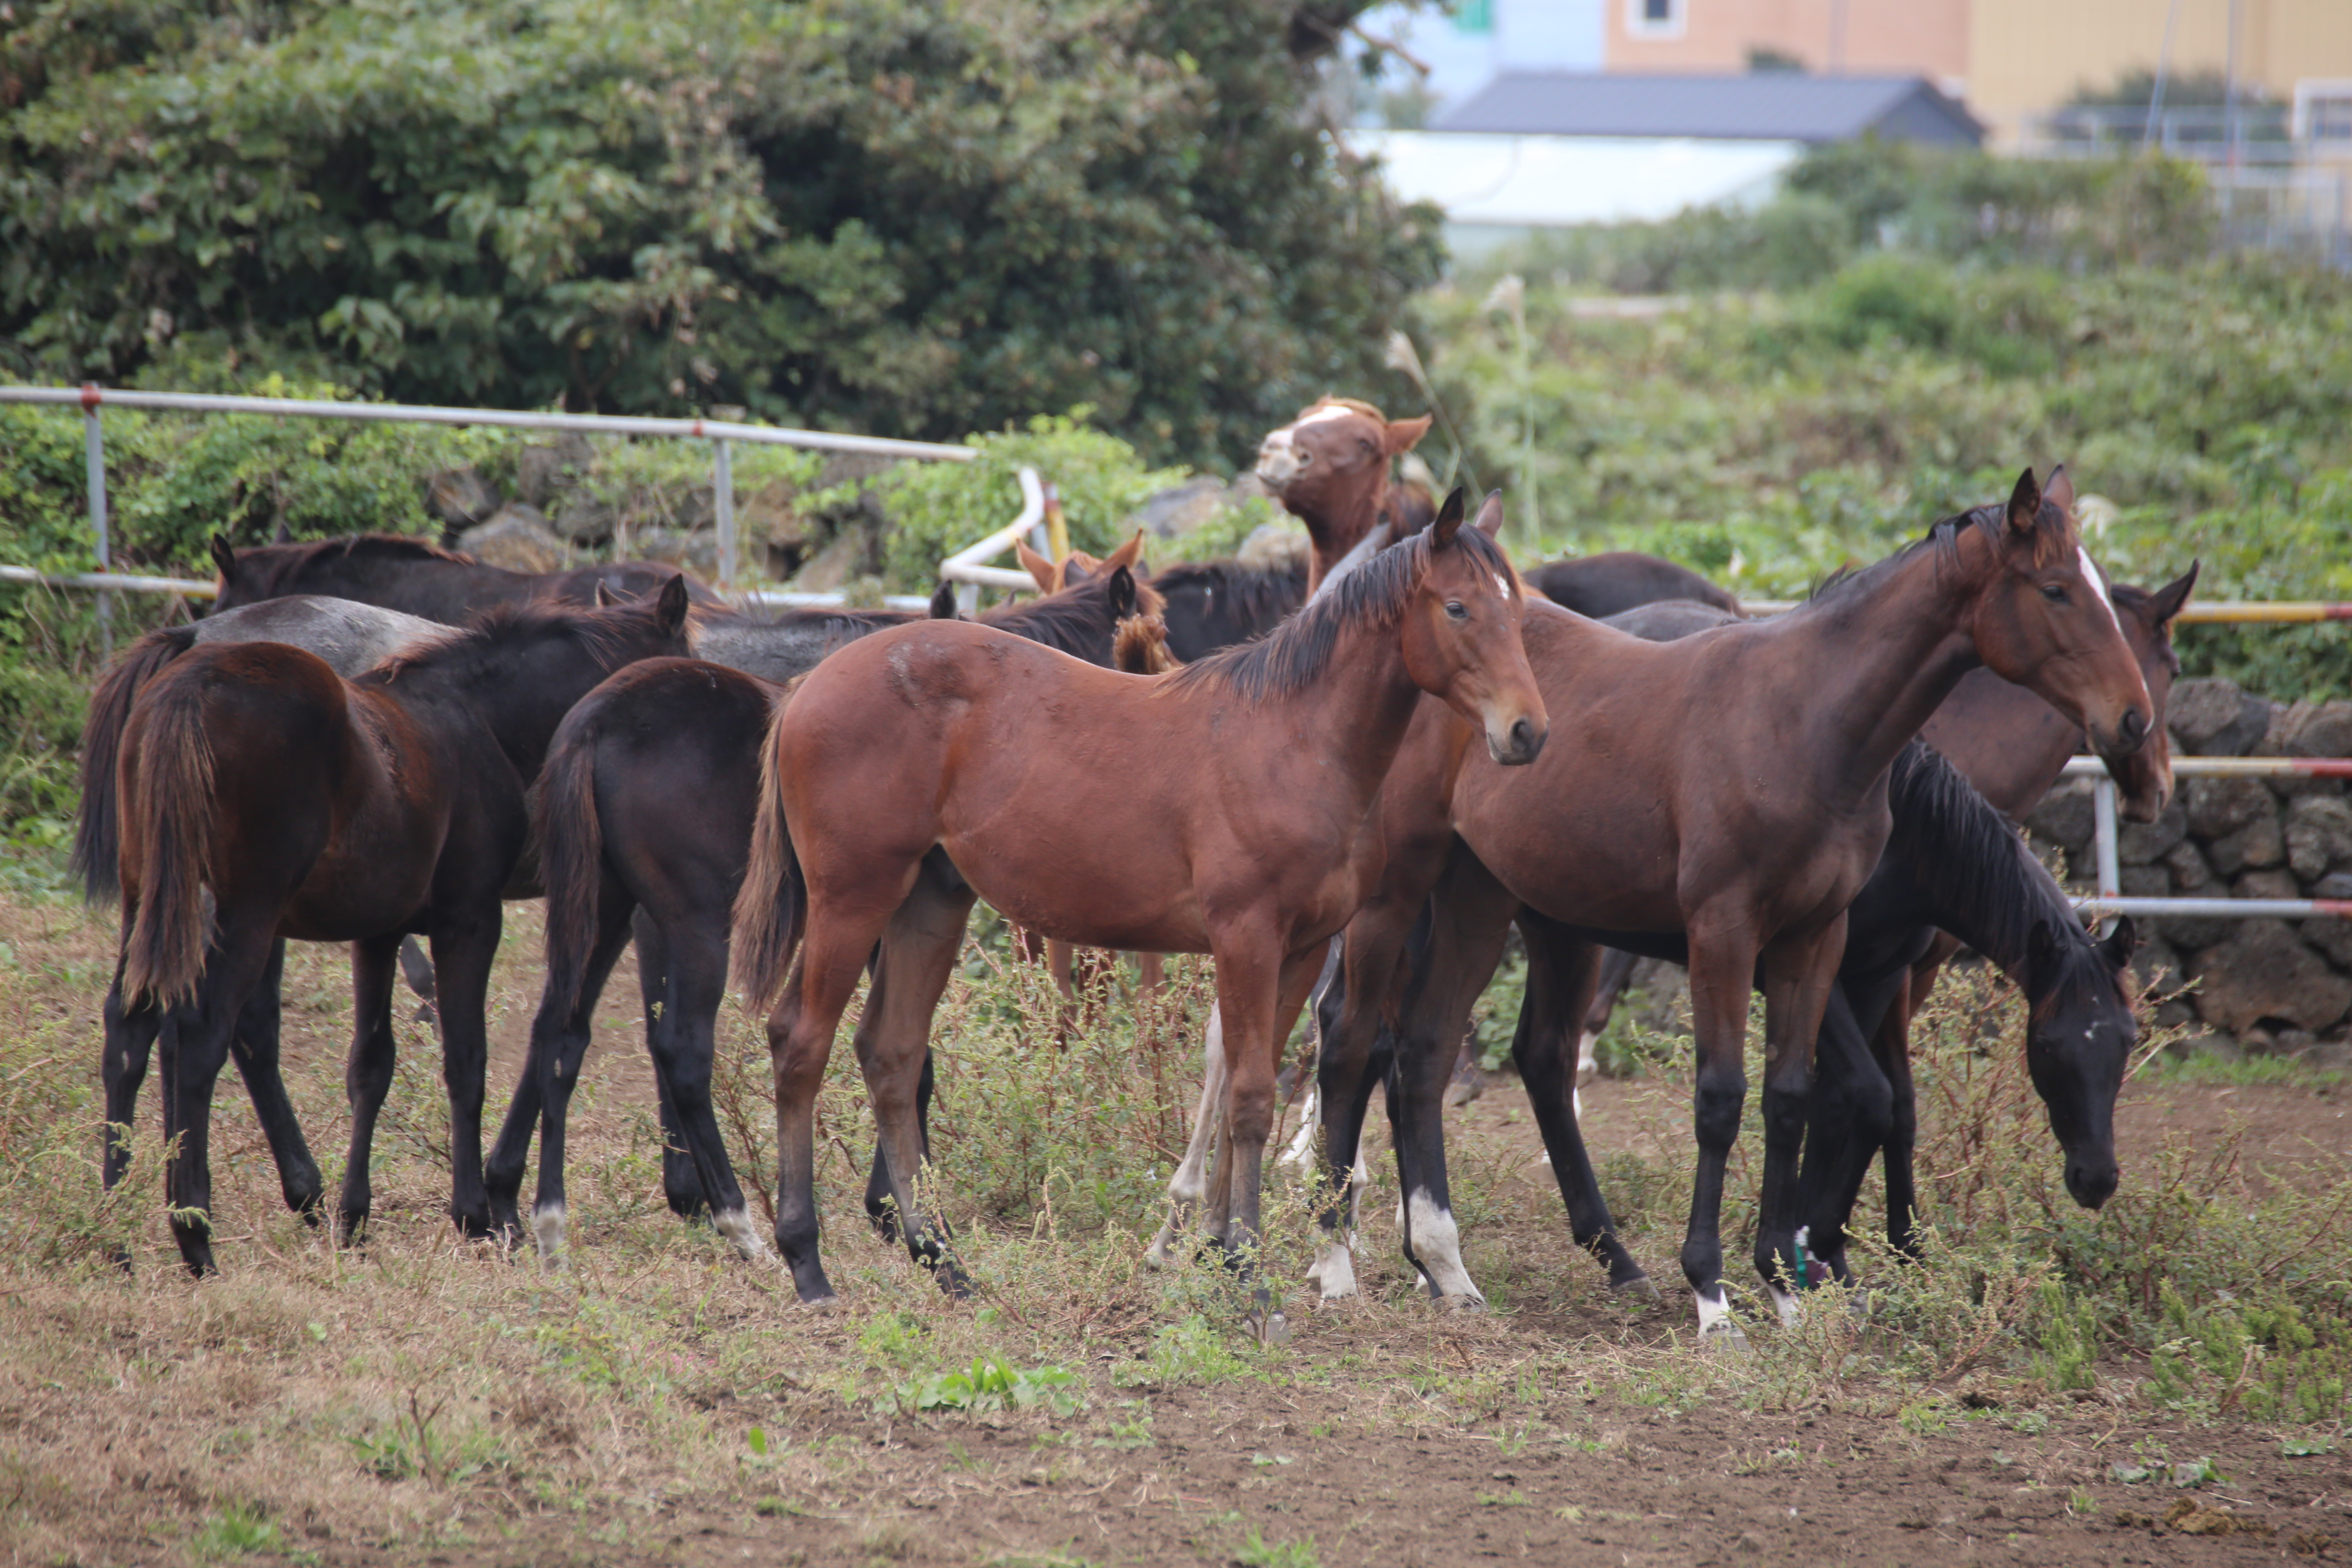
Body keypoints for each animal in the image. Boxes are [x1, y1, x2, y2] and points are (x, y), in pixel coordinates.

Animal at [108, 576, 686, 1278]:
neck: (478, 720)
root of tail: (190, 679)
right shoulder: (470, 918)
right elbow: (468, 1058)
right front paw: (476, 1214)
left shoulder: (379, 932)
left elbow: (371, 1066)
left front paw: (355, 1218)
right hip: (246, 913)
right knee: (204, 1037)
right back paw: (196, 1233)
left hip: (151, 900)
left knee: (130, 1029)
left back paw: (115, 1229)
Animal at [487, 564, 1166, 1260]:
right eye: (1154, 632)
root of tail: (597, 718)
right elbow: (909, 1060)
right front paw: (902, 1208)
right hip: (695, 926)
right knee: (681, 1049)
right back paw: (737, 1221)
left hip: (604, 911)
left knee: (561, 1030)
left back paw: (538, 1215)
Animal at [734, 493, 1543, 1326]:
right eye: (1457, 607)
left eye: (1518, 612)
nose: (1526, 731)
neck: (1292, 739)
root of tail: (811, 683)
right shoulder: (1246, 939)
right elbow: (1249, 1097)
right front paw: (1249, 1274)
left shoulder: (1303, 949)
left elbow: (1239, 1087)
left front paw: (1219, 1254)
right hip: (853, 898)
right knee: (801, 1042)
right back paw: (808, 1262)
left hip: (929, 903)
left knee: (890, 1054)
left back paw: (944, 1260)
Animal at [1307, 470, 2154, 1354]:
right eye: (2055, 590)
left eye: (2127, 1045)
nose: (2133, 717)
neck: (1806, 726)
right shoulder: (1726, 934)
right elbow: (1727, 1100)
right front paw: (1717, 1292)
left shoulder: (1820, 943)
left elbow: (1799, 1097)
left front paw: (1788, 1278)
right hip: (1396, 899)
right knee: (1353, 1039)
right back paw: (1338, 1259)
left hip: (1490, 900)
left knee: (1440, 1051)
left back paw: (1454, 1265)